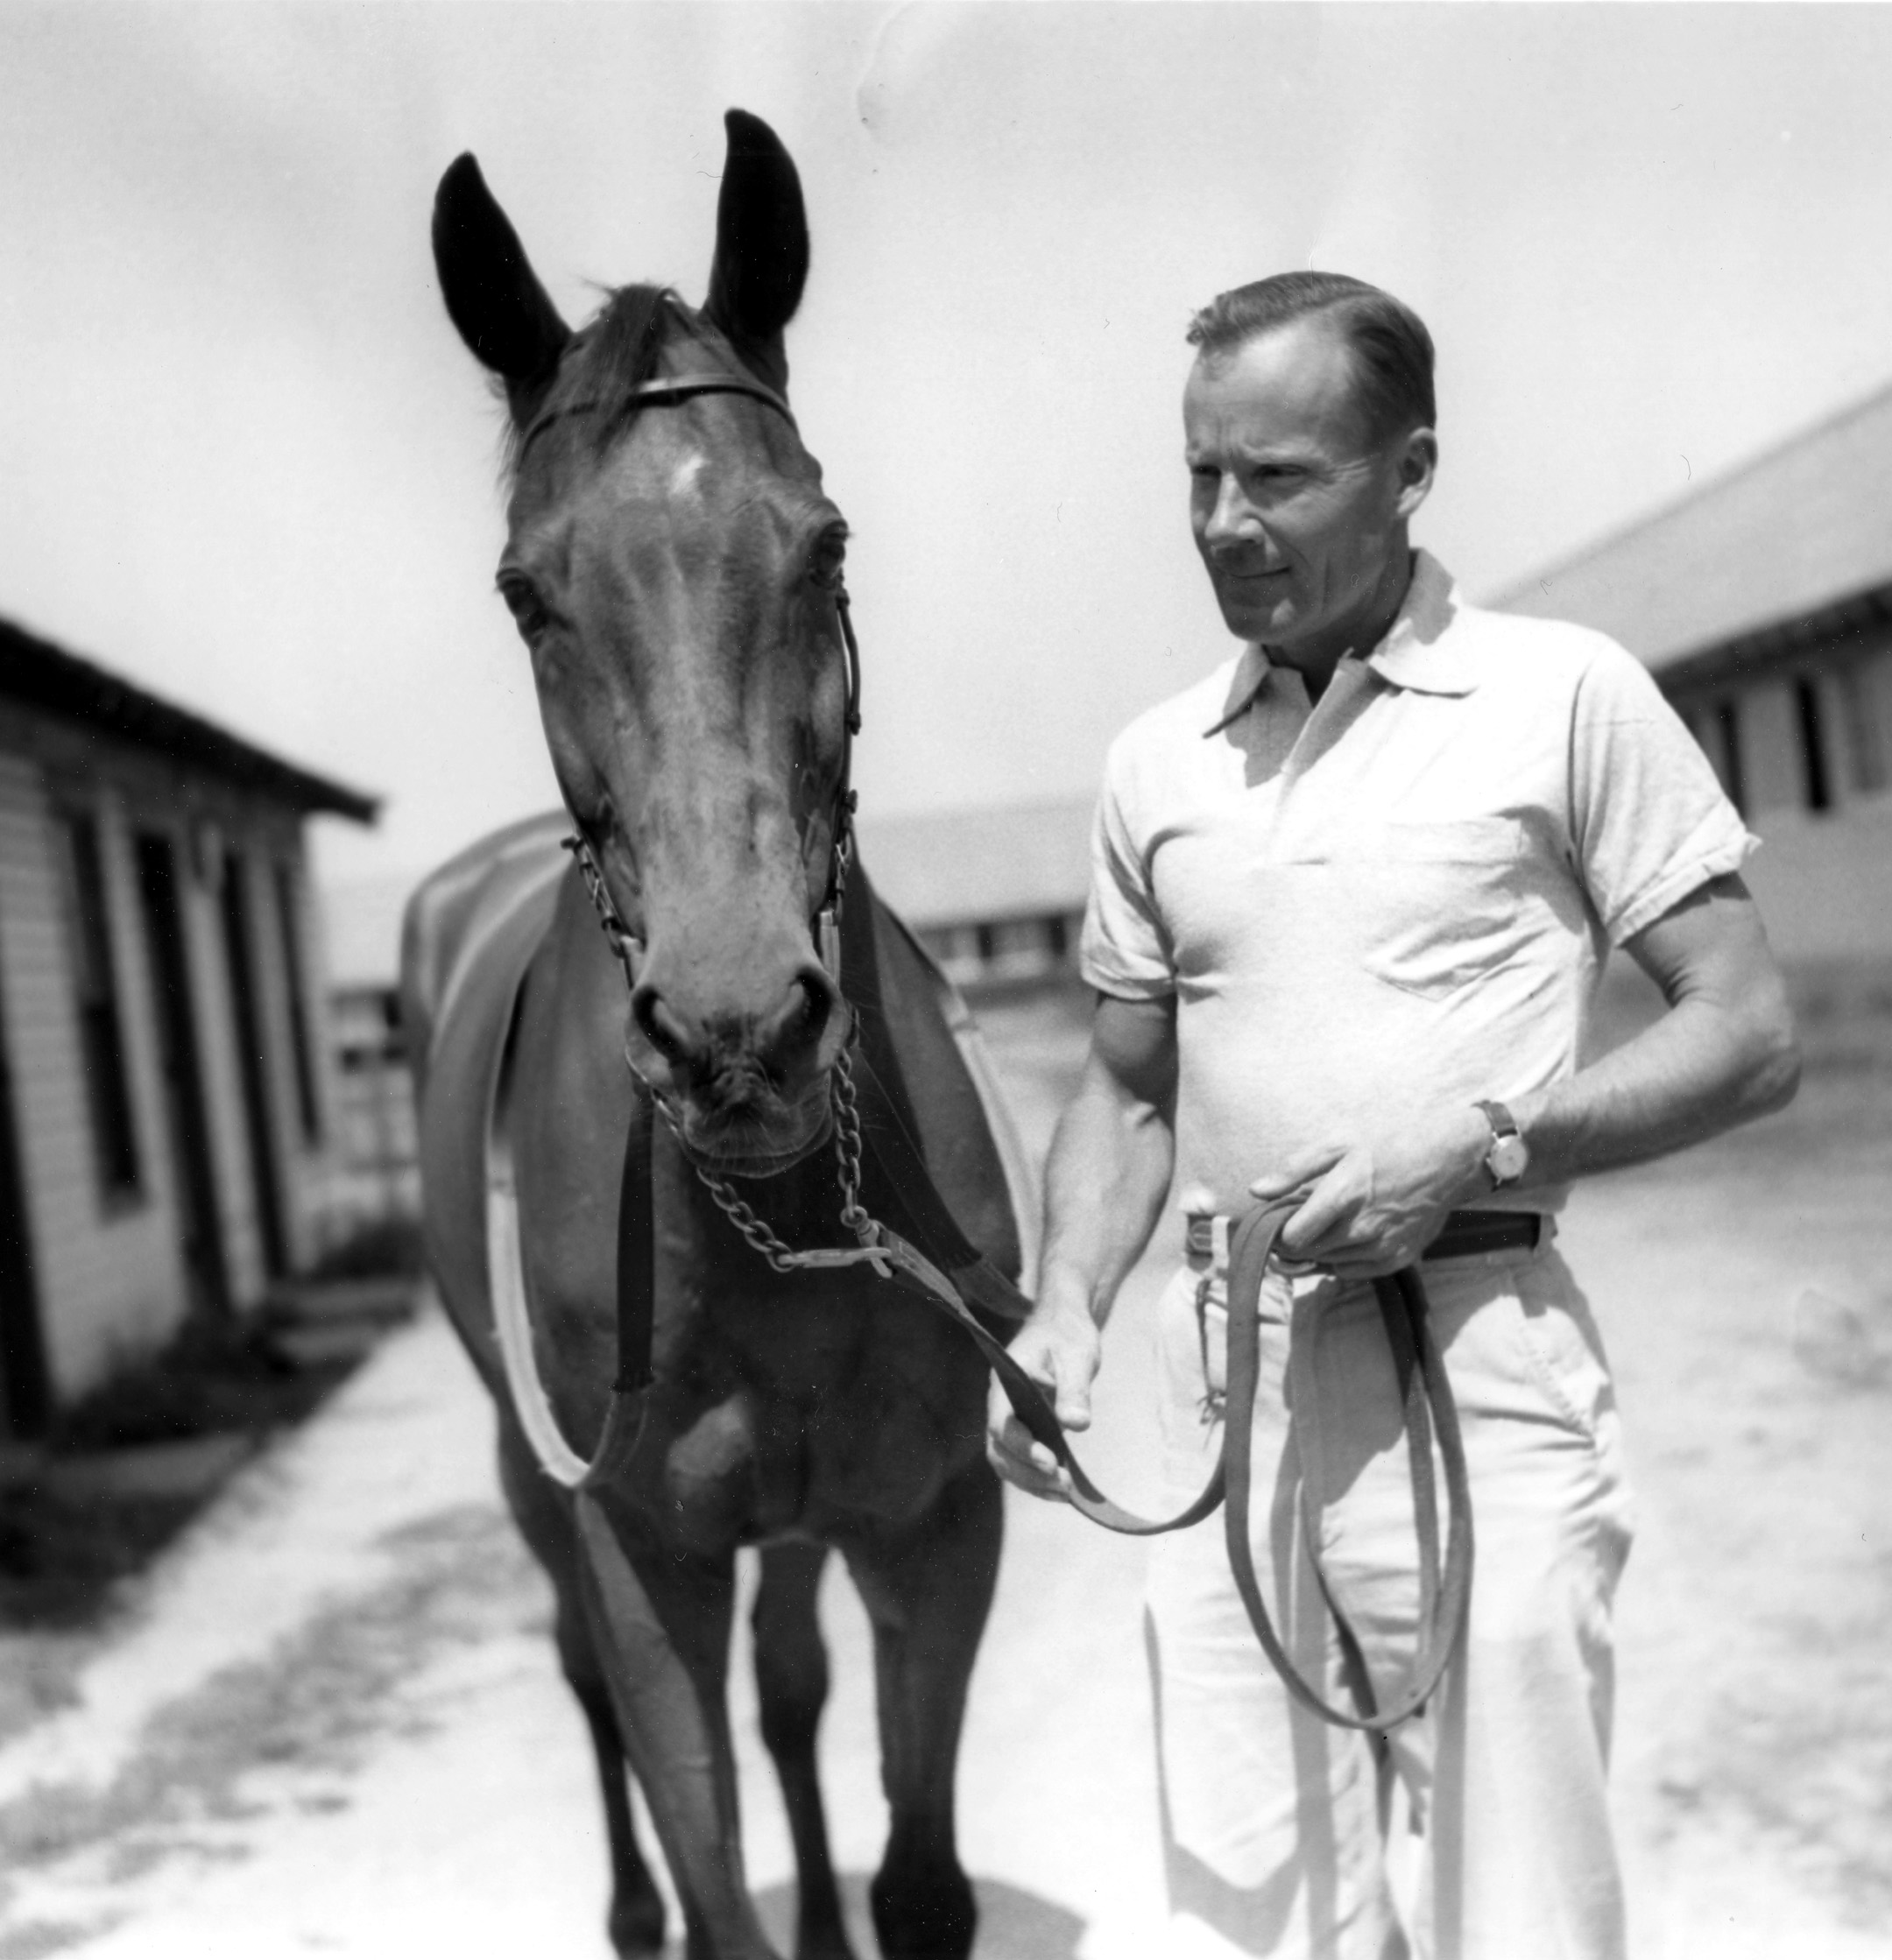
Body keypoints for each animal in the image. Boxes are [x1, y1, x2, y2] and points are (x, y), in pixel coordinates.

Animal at [399, 111, 1042, 1960]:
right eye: (525, 593)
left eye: (823, 544)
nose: (737, 1029)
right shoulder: (642, 1555)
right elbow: (701, 1840)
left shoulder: (932, 1519)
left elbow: (916, 1874)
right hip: (534, 1483)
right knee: (589, 1687)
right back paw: (627, 1910)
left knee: (793, 1683)